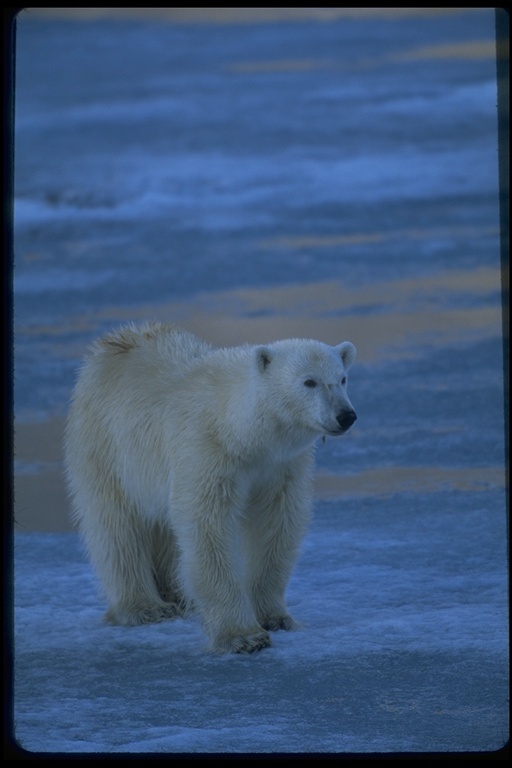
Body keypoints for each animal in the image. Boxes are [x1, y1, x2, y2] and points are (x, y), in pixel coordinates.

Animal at [64, 320, 356, 652]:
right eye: (309, 382)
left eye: (342, 378)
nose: (345, 416)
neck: (239, 429)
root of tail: (112, 342)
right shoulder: (207, 450)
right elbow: (208, 527)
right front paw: (243, 636)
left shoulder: (280, 466)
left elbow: (276, 525)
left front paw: (275, 617)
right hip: (106, 445)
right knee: (116, 526)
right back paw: (145, 607)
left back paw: (175, 595)